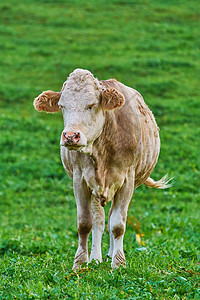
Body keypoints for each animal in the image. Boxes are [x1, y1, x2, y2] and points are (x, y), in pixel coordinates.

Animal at [33, 68, 171, 270]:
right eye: (62, 106)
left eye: (92, 105)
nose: (71, 136)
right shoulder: (80, 179)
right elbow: (85, 223)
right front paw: (80, 263)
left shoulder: (127, 180)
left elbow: (118, 225)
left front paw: (118, 263)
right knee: (99, 220)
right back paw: (96, 257)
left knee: (113, 217)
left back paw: (111, 253)